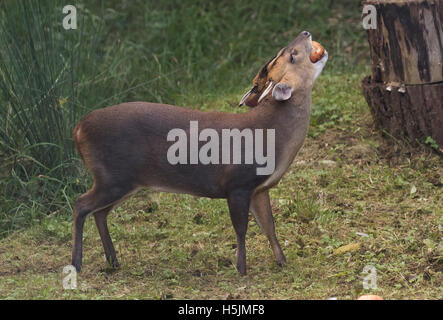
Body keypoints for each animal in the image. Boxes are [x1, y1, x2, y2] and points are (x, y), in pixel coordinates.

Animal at [73, 30, 328, 276]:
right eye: (291, 55)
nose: (305, 33)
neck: (272, 134)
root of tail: (78, 128)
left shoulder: (259, 188)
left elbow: (269, 226)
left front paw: (283, 262)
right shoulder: (237, 183)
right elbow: (241, 229)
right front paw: (242, 269)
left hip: (123, 181)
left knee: (99, 212)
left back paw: (113, 261)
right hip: (112, 175)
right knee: (81, 204)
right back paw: (77, 263)